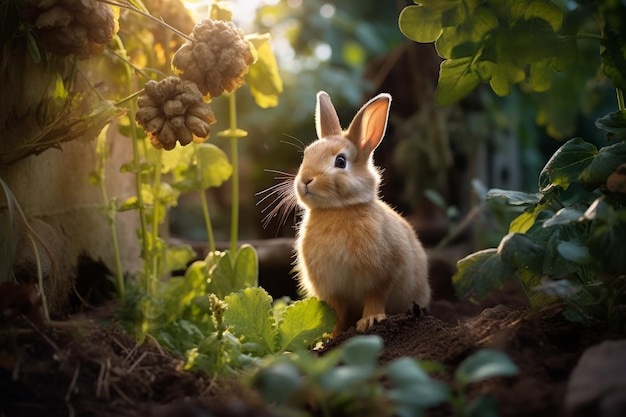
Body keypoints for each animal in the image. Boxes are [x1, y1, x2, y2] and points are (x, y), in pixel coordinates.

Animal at [292, 91, 428, 334]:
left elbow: (374, 297)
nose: (305, 180)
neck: (338, 209)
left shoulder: (381, 276)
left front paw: (370, 321)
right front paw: (330, 336)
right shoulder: (333, 289)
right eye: (306, 155)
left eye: (340, 161)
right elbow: (337, 312)